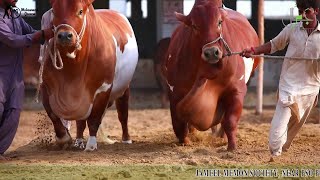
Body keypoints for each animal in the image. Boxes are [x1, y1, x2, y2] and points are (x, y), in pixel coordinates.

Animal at [40, 0, 138, 150]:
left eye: (80, 11)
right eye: (54, 11)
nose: (64, 36)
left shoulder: (103, 88)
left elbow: (94, 118)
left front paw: (91, 145)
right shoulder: (46, 85)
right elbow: (53, 114)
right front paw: (64, 138)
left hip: (124, 88)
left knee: (123, 113)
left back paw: (126, 139)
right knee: (81, 122)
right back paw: (79, 141)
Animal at [165, 0, 260, 150]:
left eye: (219, 22)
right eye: (194, 25)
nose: (211, 52)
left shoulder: (237, 90)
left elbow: (230, 121)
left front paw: (232, 146)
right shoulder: (174, 91)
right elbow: (178, 122)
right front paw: (185, 141)